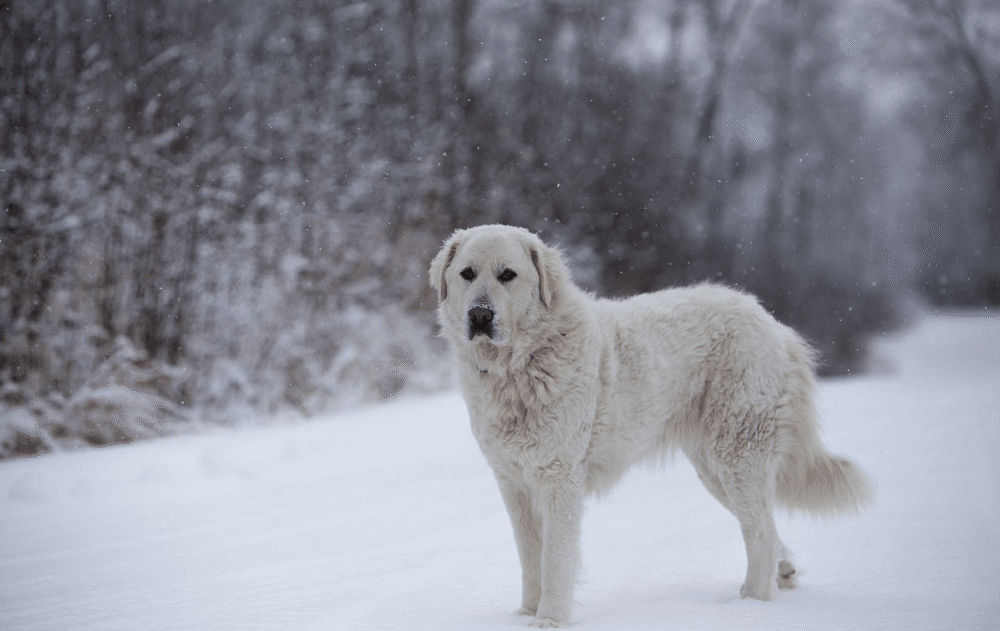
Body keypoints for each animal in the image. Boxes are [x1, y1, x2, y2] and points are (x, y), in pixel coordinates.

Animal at [430, 226, 876, 628]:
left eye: (508, 275)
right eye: (467, 273)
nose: (480, 315)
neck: (523, 363)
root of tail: (771, 322)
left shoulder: (558, 480)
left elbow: (554, 560)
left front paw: (548, 620)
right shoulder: (513, 483)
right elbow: (529, 557)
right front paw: (525, 613)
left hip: (737, 456)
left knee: (761, 534)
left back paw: (750, 606)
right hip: (715, 470)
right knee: (765, 524)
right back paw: (781, 575)